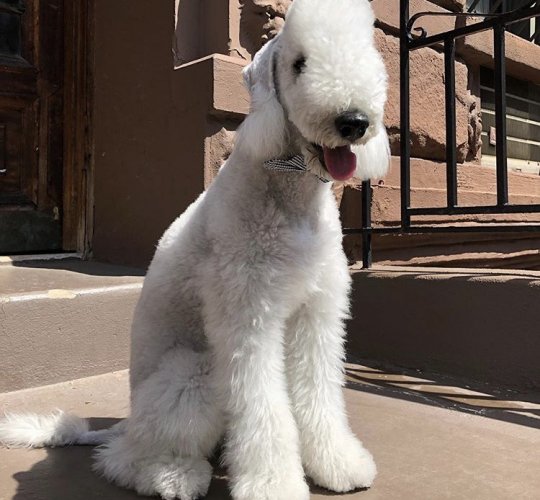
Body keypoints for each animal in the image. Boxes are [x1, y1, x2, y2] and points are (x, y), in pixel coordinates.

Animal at [0, 0, 388, 500]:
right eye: (299, 63)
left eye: (369, 56)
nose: (353, 122)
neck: (288, 193)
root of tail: (127, 423)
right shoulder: (247, 315)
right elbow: (263, 408)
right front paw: (274, 484)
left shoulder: (316, 312)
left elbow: (320, 390)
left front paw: (339, 464)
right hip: (194, 373)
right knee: (120, 459)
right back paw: (175, 476)